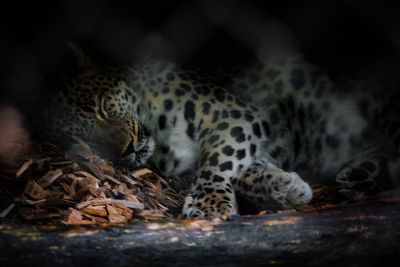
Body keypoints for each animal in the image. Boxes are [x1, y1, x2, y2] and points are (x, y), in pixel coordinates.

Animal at [39, 45, 400, 219]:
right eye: (92, 143)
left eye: (101, 107)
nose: (127, 149)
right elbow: (243, 170)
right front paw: (286, 188)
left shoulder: (234, 114)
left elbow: (219, 157)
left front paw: (209, 205)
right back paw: (361, 175)